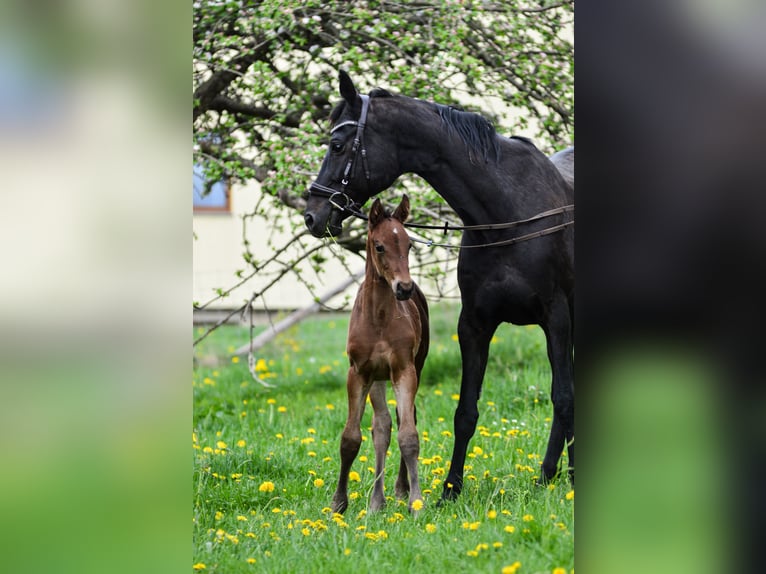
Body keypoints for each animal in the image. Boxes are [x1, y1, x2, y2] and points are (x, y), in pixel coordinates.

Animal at [332, 196, 432, 516]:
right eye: (379, 246)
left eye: (410, 245)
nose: (404, 288)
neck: (377, 319)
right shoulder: (358, 372)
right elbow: (351, 437)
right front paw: (338, 503)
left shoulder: (404, 370)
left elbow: (409, 434)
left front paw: (416, 501)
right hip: (376, 378)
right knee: (381, 426)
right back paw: (377, 500)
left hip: (414, 367)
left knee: (399, 419)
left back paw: (398, 490)